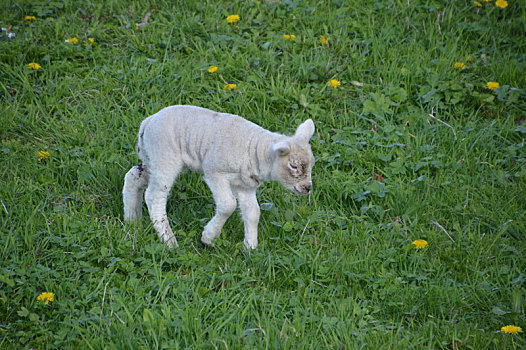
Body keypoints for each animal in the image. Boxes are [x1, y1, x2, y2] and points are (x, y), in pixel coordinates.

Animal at [124, 105, 316, 250]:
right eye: (294, 166)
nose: (308, 188)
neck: (254, 150)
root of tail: (147, 122)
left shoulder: (245, 185)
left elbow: (253, 212)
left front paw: (250, 247)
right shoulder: (214, 171)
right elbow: (228, 205)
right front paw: (208, 237)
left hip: (151, 158)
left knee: (133, 176)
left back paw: (132, 223)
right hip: (165, 157)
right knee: (154, 196)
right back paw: (169, 241)